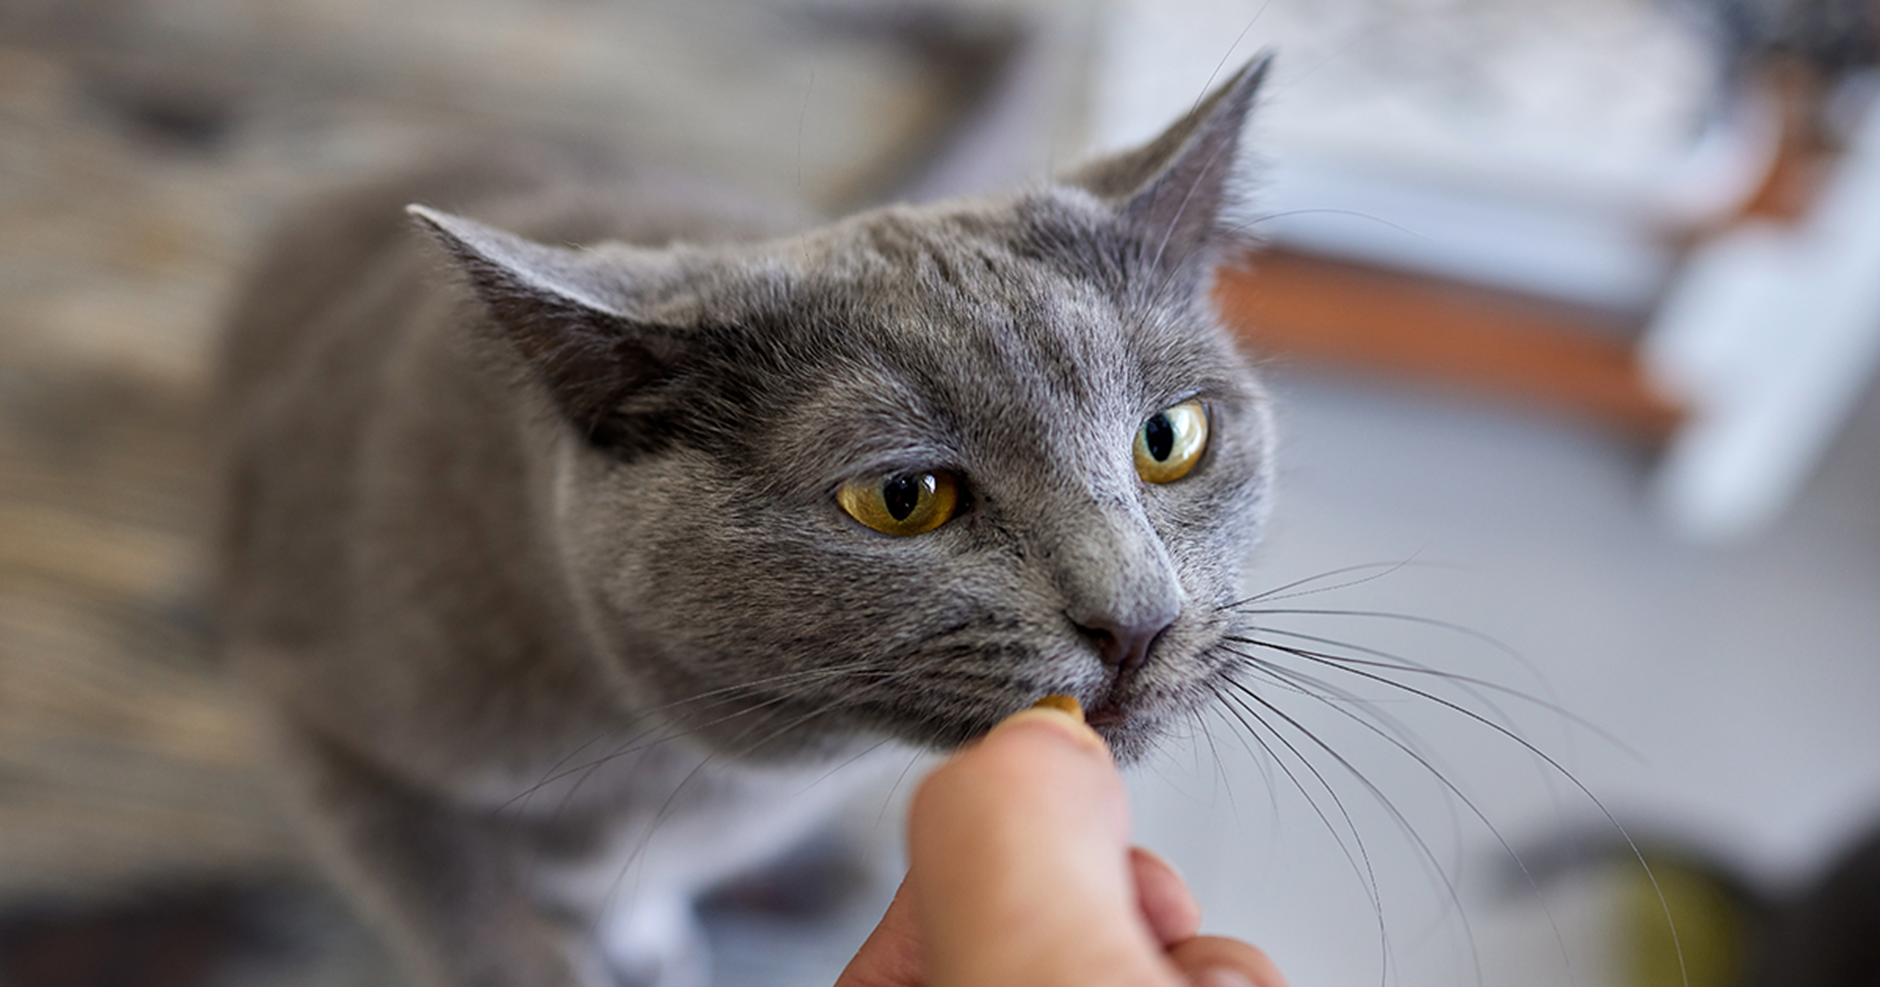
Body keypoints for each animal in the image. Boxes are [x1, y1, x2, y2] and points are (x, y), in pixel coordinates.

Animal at [216, 55, 1278, 985]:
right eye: (903, 498)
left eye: (1169, 438)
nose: (1138, 620)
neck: (696, 760)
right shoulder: (322, 725)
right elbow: (465, 913)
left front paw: (644, 931)